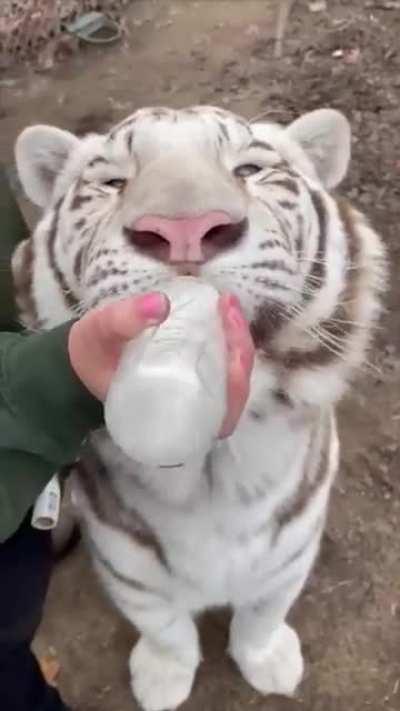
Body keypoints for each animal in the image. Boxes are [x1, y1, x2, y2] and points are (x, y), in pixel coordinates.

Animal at [13, 106, 386, 711]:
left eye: (249, 169)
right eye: (114, 182)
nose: (184, 230)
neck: (214, 464)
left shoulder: (292, 549)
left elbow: (262, 613)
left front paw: (270, 663)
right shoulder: (127, 565)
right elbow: (165, 627)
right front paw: (163, 679)